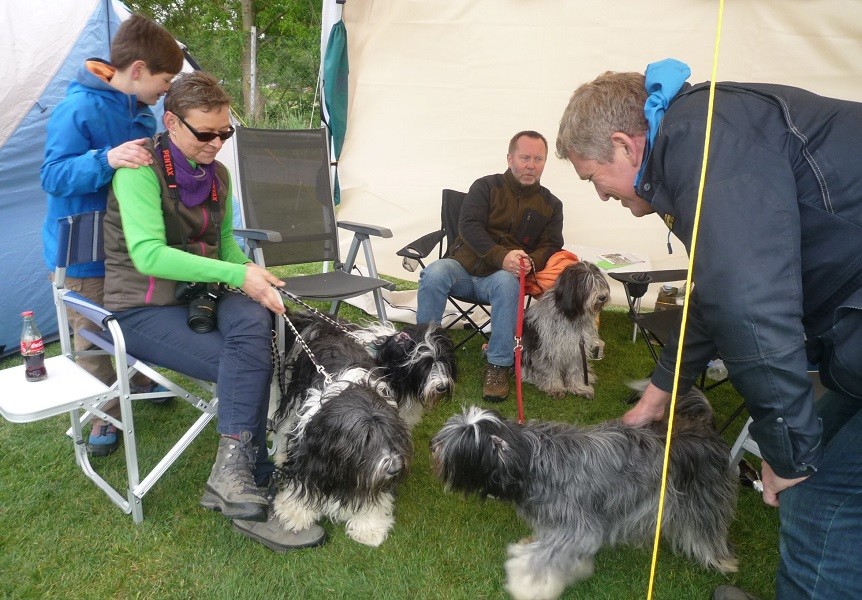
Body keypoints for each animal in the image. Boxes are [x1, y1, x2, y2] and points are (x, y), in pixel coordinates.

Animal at [436, 390, 740, 600]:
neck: (529, 459)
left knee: (708, 531)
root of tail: (704, 428)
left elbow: (545, 559)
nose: (432, 446)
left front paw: (526, 583)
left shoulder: (579, 526)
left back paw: (722, 561)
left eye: (459, 446)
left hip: (703, 501)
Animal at [524, 262, 612, 398]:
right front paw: (555, 388)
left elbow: (576, 370)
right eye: (586, 284)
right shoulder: (549, 349)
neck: (572, 317)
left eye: (600, 282)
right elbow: (550, 369)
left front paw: (579, 388)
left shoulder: (578, 349)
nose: (602, 297)